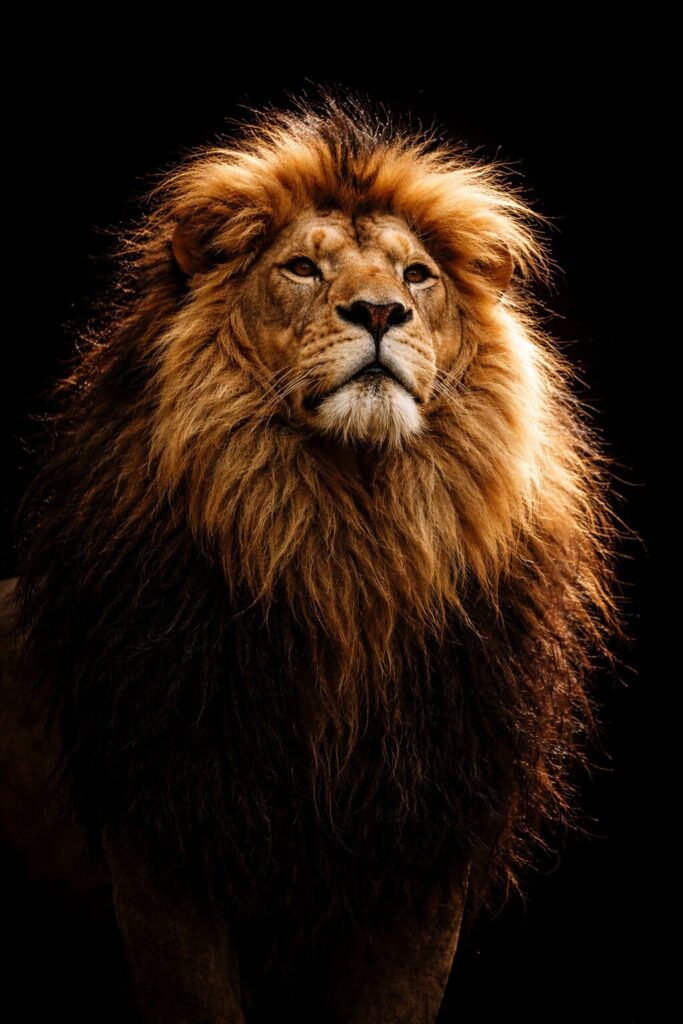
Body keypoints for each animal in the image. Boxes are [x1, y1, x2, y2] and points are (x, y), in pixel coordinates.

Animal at [0, 94, 620, 1022]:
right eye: (299, 268)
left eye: (416, 276)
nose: (379, 314)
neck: (347, 544)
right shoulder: (163, 840)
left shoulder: (423, 858)